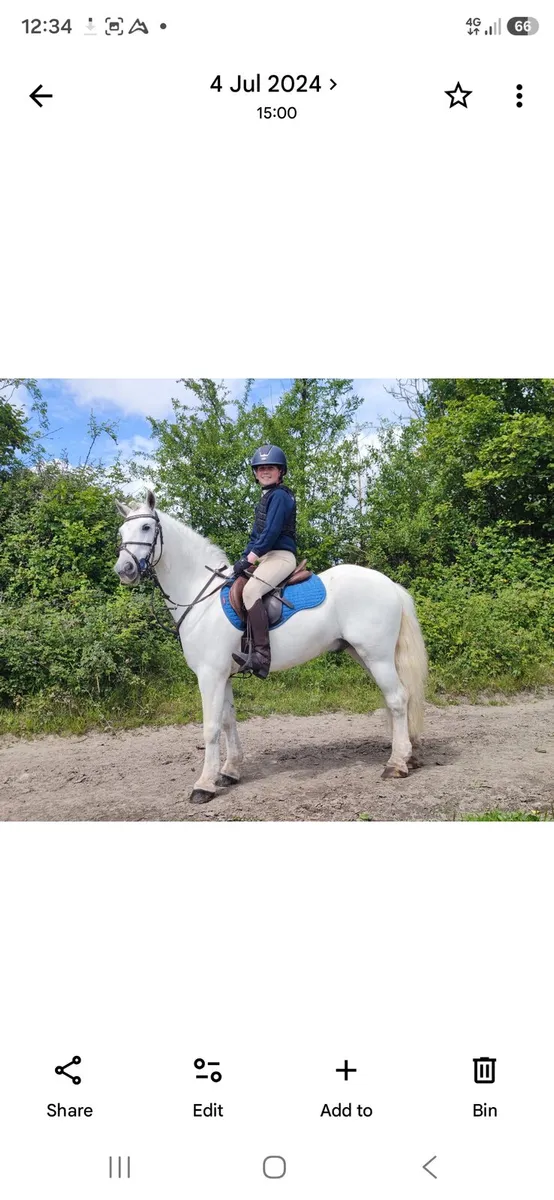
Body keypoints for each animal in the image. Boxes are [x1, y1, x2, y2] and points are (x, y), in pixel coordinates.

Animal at [114, 491, 428, 804]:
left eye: (146, 527)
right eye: (122, 532)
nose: (124, 570)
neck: (201, 598)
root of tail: (390, 584)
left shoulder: (210, 675)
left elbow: (211, 728)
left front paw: (204, 785)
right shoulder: (224, 676)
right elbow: (228, 721)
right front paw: (230, 771)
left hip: (377, 656)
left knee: (397, 699)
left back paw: (396, 763)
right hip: (365, 655)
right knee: (398, 698)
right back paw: (407, 756)